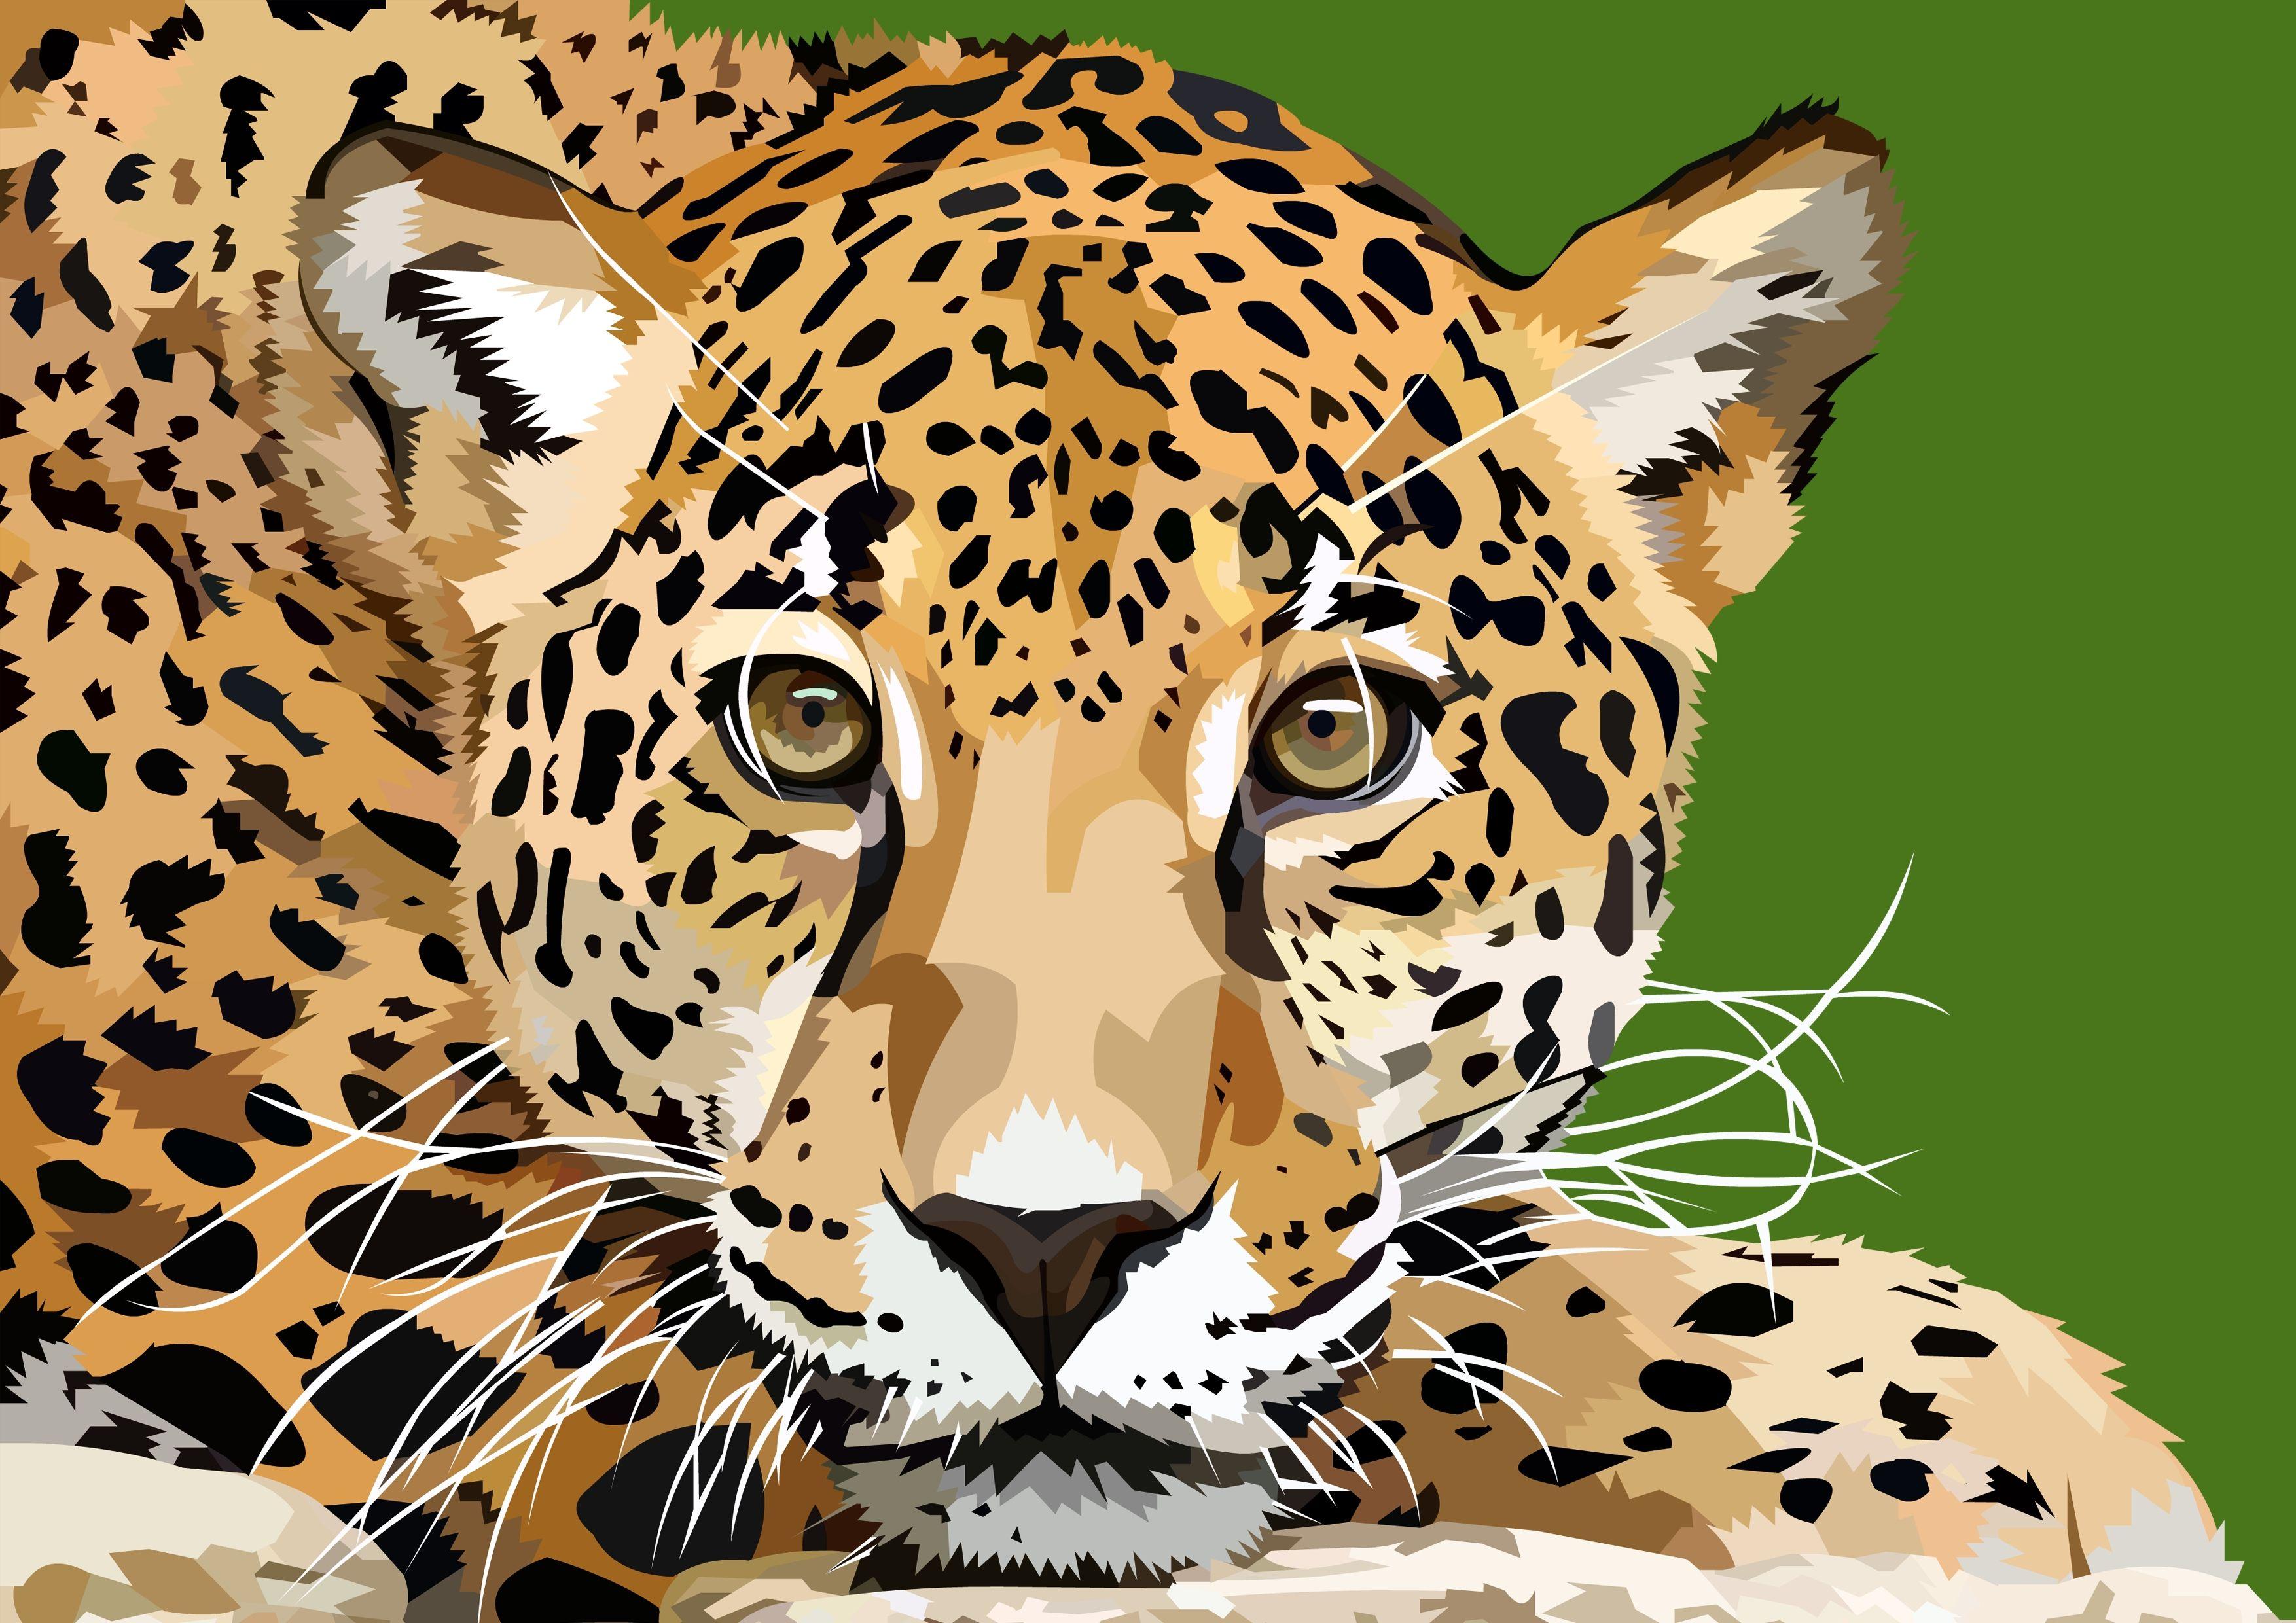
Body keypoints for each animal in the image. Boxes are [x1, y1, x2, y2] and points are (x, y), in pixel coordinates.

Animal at [0, 2, 2237, 1617]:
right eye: (799, 722)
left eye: (1331, 736)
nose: (1044, 1252)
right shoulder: (360, 1244)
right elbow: (1486, 1326)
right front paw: (2006, 1431)